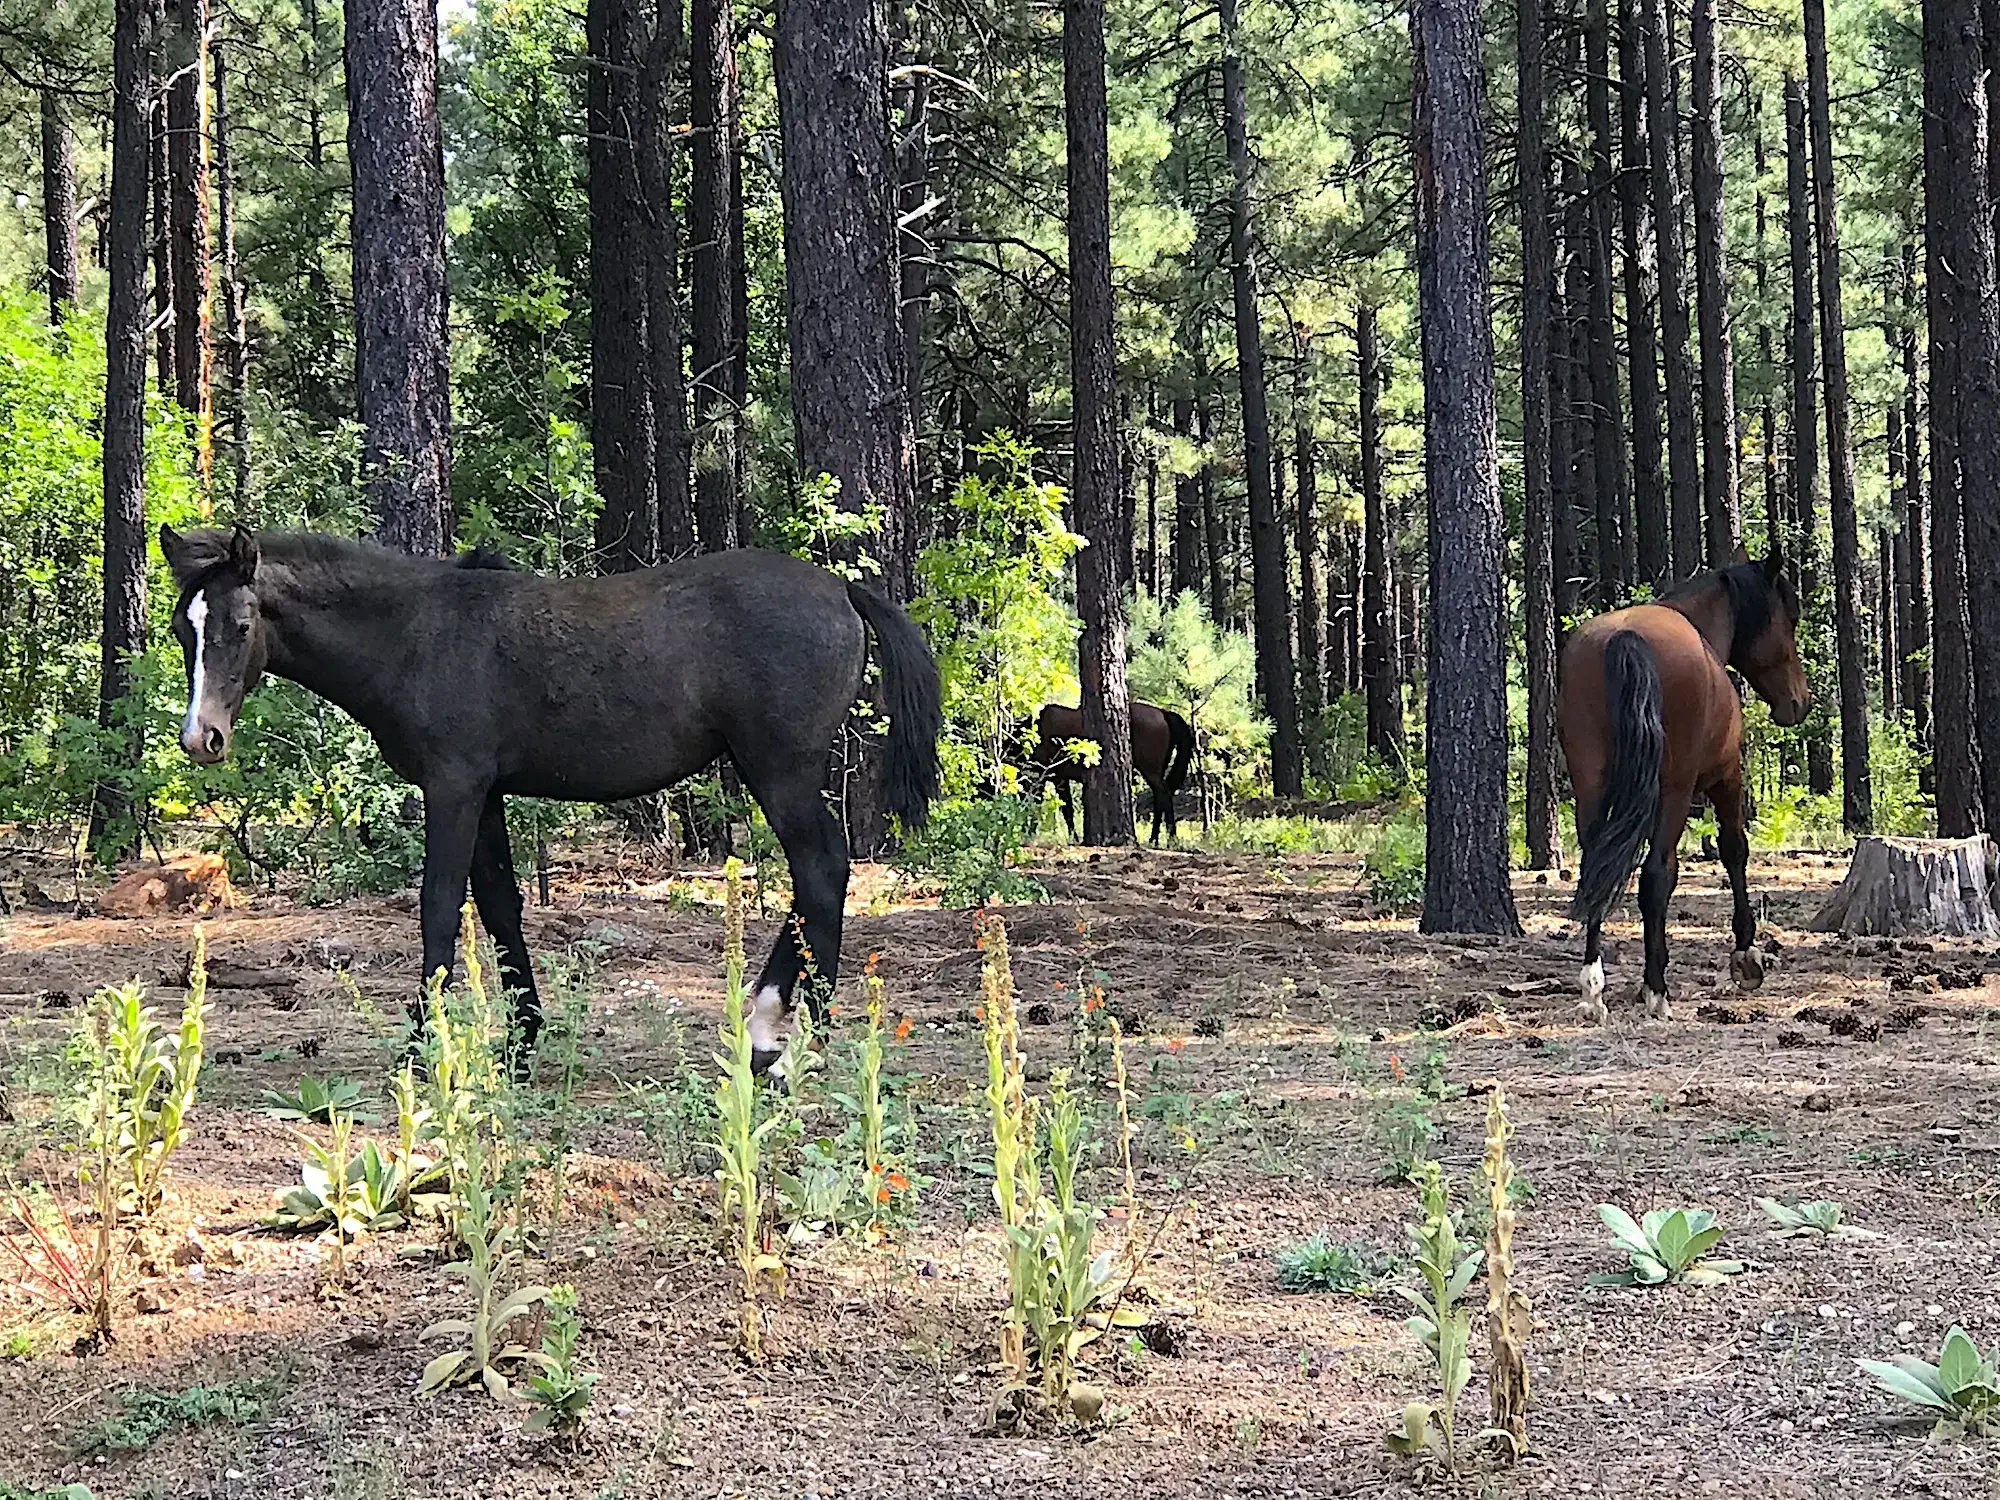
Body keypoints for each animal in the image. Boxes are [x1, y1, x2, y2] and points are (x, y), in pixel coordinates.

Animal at [160, 528, 940, 1072]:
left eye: (238, 626)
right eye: (181, 628)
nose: (202, 737)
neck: (413, 635)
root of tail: (840, 590)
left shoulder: (452, 787)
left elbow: (439, 908)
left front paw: (421, 1048)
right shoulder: (485, 793)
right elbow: (501, 906)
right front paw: (522, 1042)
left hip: (779, 768)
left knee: (822, 868)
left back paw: (789, 1036)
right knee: (818, 875)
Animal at [1032, 704, 1184, 848]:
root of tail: (1163, 713)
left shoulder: (1057, 778)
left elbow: (1063, 808)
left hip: (1151, 772)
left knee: (1164, 796)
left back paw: (1166, 839)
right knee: (1161, 798)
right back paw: (1159, 839)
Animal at [1552, 548, 1824, 1032]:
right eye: (1789, 617)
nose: (1798, 703)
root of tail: (1625, 637)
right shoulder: (1726, 778)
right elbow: (1734, 850)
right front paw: (1745, 954)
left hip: (1591, 787)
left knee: (1596, 874)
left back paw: (1593, 989)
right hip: (1674, 791)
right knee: (1656, 877)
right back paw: (1656, 991)